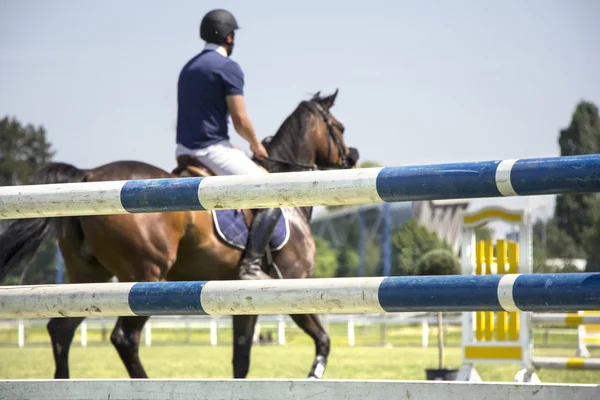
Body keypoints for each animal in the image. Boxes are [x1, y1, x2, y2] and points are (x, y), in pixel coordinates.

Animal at [0, 89, 358, 380]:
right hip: (146, 278)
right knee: (124, 338)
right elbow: (324, 339)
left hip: (87, 280)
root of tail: (88, 176)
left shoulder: (244, 299)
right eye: (339, 127)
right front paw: (313, 376)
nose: (352, 157)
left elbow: (240, 360)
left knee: (60, 331)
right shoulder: (295, 284)